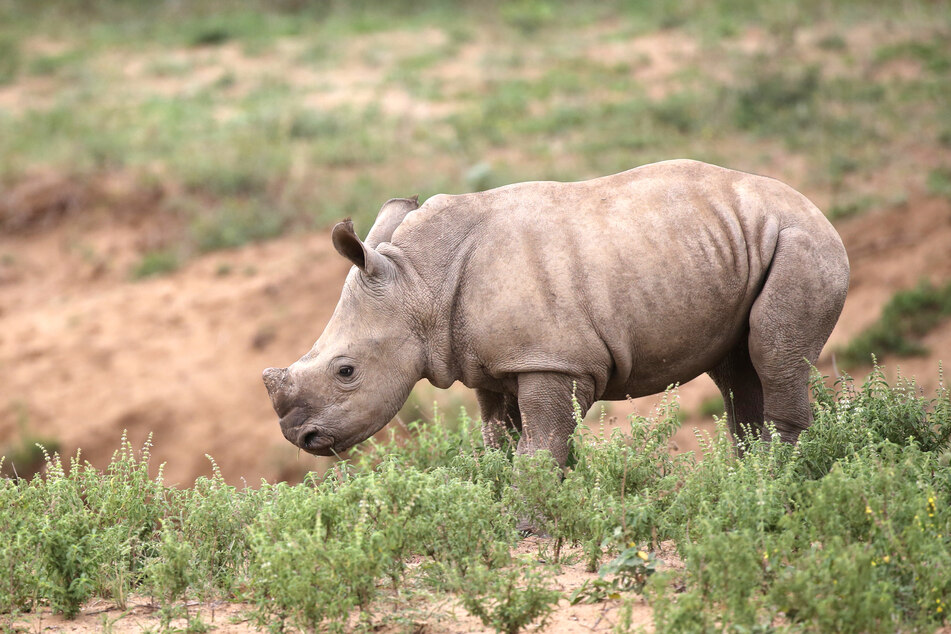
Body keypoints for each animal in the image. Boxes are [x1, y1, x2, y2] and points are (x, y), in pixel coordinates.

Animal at [260, 159, 848, 464]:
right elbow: (499, 441)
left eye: (346, 371)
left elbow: (541, 446)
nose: (299, 437)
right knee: (735, 368)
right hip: (740, 244)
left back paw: (776, 480)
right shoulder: (491, 363)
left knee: (773, 352)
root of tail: (814, 207)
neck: (418, 281)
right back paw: (748, 479)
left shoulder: (553, 359)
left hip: (801, 242)